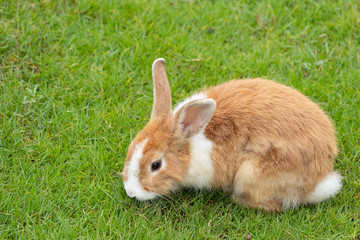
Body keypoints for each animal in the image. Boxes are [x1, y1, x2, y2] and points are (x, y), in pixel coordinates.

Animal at [119, 58, 342, 212]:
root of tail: (319, 180)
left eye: (156, 165)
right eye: (130, 148)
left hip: (250, 173)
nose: (131, 192)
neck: (190, 145)